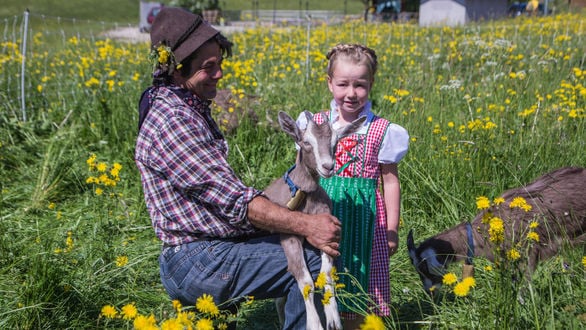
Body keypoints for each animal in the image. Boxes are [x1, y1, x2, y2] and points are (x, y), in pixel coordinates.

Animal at [264, 111, 364, 330]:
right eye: (305, 142)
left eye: (336, 141)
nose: (327, 166)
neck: (306, 198)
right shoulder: (289, 236)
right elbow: (306, 281)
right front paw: (314, 324)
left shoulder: (326, 234)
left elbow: (326, 275)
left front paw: (334, 319)